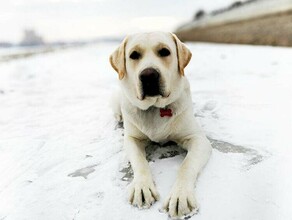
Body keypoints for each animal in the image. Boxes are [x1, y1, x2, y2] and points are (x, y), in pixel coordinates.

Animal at [108, 31, 211, 219]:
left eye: (164, 51)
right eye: (134, 55)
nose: (148, 75)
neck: (155, 107)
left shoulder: (198, 139)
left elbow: (186, 165)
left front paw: (180, 196)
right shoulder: (131, 139)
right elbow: (139, 162)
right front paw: (142, 187)